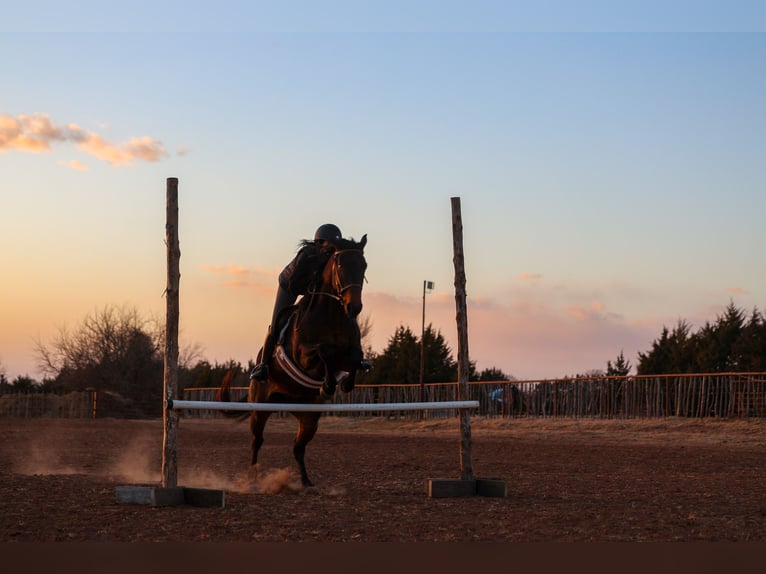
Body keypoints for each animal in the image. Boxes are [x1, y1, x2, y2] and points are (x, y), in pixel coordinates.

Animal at [217, 234, 368, 487]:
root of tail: (286, 404)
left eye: (364, 266)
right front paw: (328, 386)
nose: (353, 307)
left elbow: (355, 358)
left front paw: (345, 384)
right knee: (256, 441)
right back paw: (252, 479)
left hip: (309, 417)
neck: (333, 315)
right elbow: (324, 352)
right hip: (260, 408)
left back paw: (306, 481)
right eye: (340, 265)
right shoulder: (304, 356)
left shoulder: (346, 356)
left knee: (299, 447)